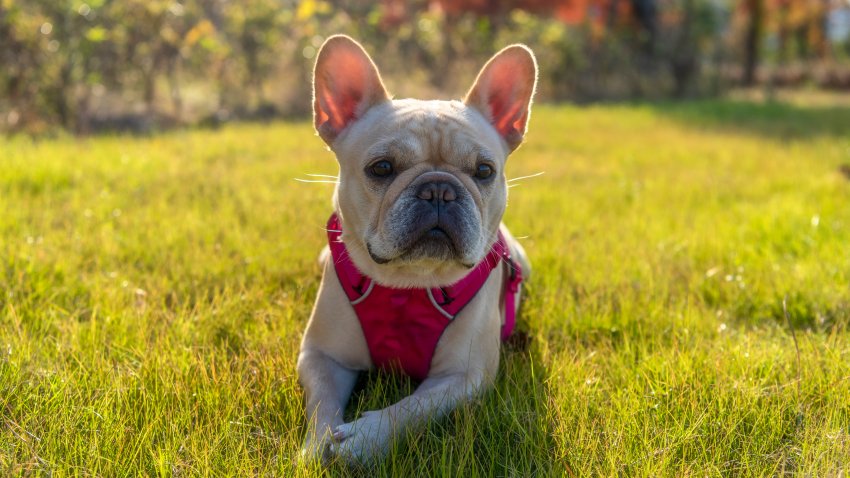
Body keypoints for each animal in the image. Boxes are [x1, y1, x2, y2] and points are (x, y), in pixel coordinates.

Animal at [300, 35, 536, 464]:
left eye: (484, 171)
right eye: (381, 168)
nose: (439, 189)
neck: (407, 286)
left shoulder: (462, 377)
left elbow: (412, 408)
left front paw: (365, 438)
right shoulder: (320, 355)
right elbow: (321, 403)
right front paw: (317, 446)